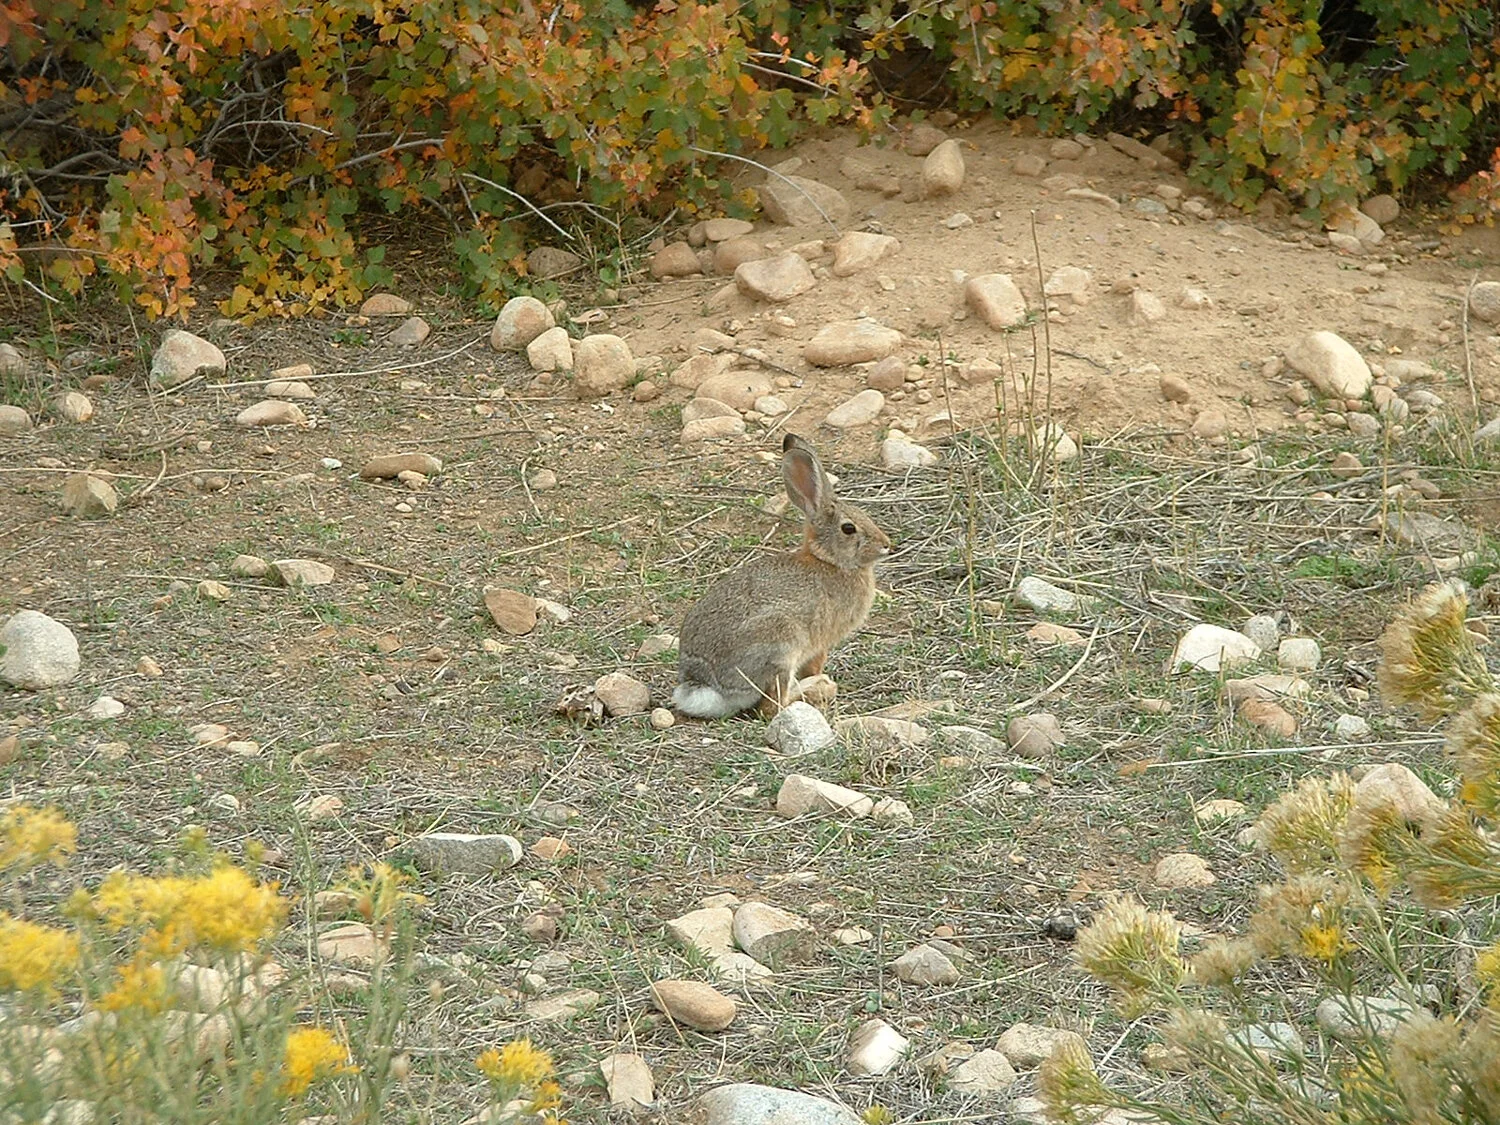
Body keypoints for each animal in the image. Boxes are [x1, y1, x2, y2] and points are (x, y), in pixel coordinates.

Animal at [673, 433, 891, 718]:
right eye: (848, 528)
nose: (886, 544)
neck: (829, 560)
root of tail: (704, 684)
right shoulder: (820, 642)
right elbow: (815, 664)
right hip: (781, 646)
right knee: (773, 706)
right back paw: (815, 687)